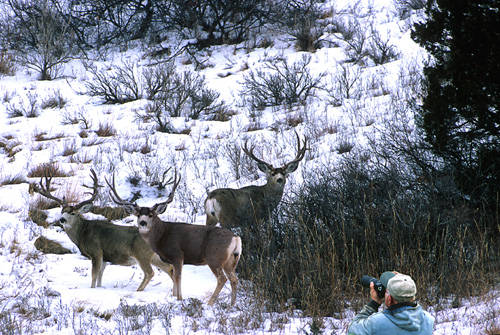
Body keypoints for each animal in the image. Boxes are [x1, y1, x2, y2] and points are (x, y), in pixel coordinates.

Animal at [30, 169, 174, 292]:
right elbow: (100, 277)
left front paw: (92, 290)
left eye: (73, 213)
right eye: (62, 211)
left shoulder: (96, 252)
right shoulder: (105, 258)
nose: (62, 219)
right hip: (154, 256)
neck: (82, 233)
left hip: (141, 254)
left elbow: (94, 276)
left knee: (150, 272)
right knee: (170, 268)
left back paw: (139, 290)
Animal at [107, 172, 242, 306]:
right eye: (138, 214)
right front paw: (174, 297)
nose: (143, 223)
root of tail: (236, 238)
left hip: (214, 257)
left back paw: (210, 303)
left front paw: (179, 299)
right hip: (231, 260)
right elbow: (173, 276)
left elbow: (178, 277)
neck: (162, 235)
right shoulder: (171, 259)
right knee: (234, 279)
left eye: (151, 215)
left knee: (222, 278)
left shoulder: (177, 255)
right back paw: (232, 305)